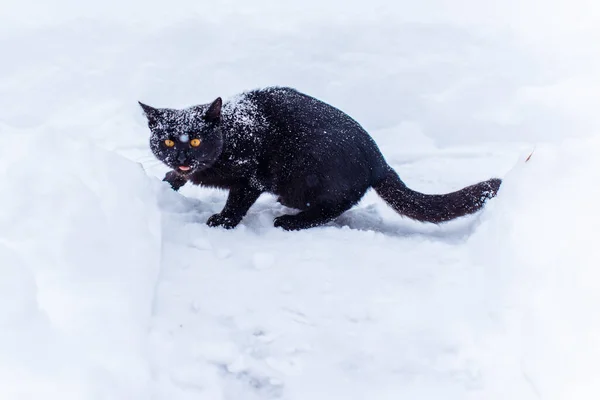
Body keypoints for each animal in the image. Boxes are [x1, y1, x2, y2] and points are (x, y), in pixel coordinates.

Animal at [141, 87, 502, 231]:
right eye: (168, 140)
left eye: (196, 140)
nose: (183, 155)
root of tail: (379, 160)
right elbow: (178, 177)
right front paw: (167, 181)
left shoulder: (252, 176)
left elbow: (237, 202)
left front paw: (223, 221)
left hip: (311, 176)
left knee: (331, 208)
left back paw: (290, 221)